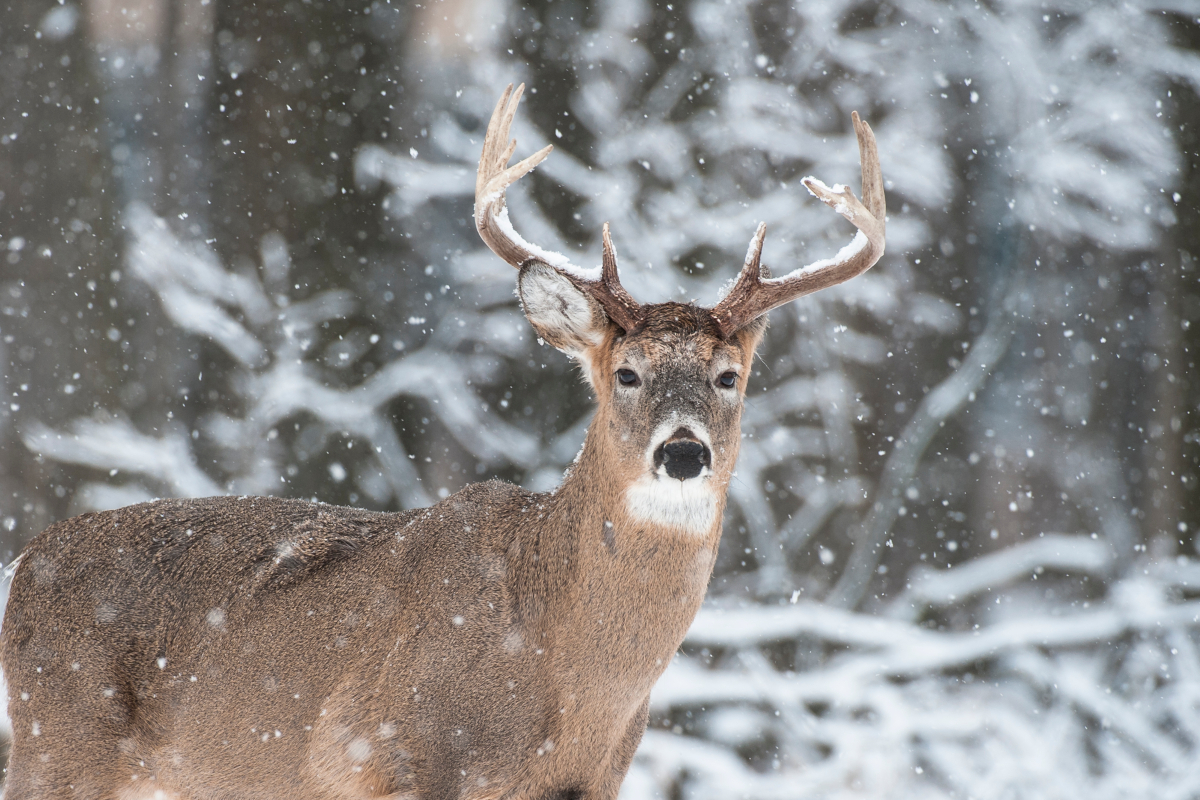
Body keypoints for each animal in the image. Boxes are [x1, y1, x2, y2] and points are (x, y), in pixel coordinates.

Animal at [0, 84, 883, 796]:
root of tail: (23, 567)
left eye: (729, 376)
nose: (684, 452)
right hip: (57, 748)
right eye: (627, 373)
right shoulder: (403, 753)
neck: (565, 674)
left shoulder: (597, 780)